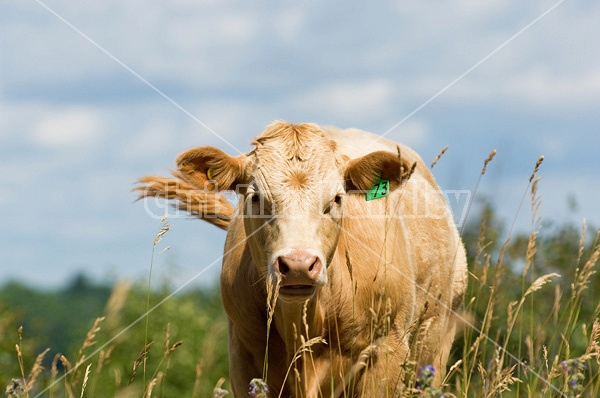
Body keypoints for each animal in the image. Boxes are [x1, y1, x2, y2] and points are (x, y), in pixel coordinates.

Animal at [137, 122, 468, 398]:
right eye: (255, 197)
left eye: (336, 198)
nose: (298, 265)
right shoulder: (243, 355)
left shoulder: (387, 350)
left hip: (435, 346)